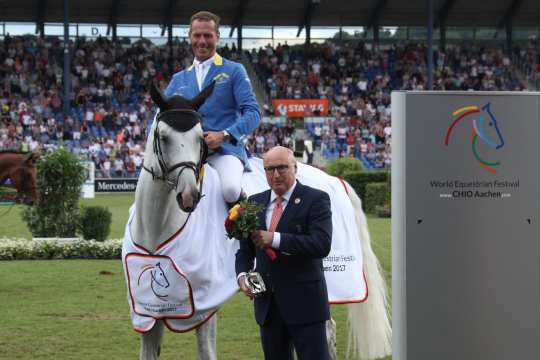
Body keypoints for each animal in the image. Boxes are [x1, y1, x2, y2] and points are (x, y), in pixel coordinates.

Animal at [122, 83, 390, 358]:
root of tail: (335, 179)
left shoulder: (204, 304)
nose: (189, 196)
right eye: (164, 137)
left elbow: (206, 351)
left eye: (200, 138)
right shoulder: (148, 310)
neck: (157, 227)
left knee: (323, 330)